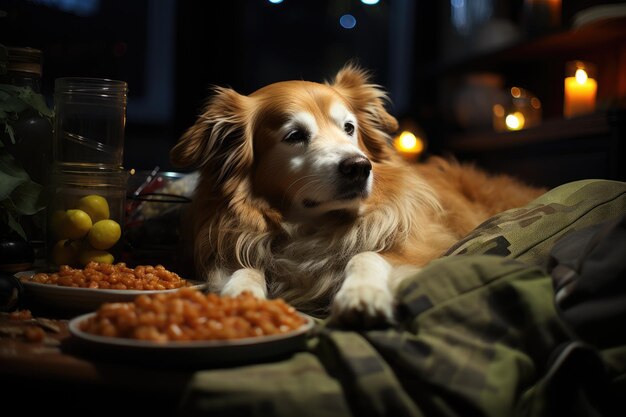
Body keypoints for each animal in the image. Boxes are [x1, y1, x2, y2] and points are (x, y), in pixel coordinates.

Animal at [168, 63, 544, 324]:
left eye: (349, 128)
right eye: (294, 136)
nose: (359, 167)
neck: (311, 227)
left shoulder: (425, 248)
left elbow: (365, 254)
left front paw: (363, 294)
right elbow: (244, 268)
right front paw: (240, 296)